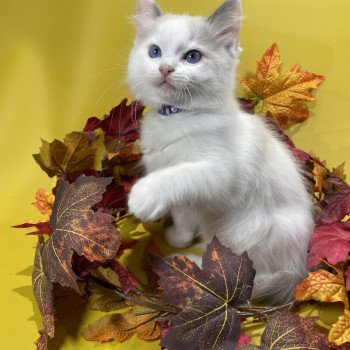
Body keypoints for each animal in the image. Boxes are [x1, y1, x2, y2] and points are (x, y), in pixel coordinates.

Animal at [126, 0, 314, 304]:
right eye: (154, 52)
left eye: (192, 56)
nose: (165, 68)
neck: (177, 117)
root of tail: (297, 273)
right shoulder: (186, 196)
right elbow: (182, 212)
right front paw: (178, 236)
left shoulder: (219, 174)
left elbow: (178, 176)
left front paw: (144, 196)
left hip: (243, 235)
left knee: (242, 279)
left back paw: (189, 267)